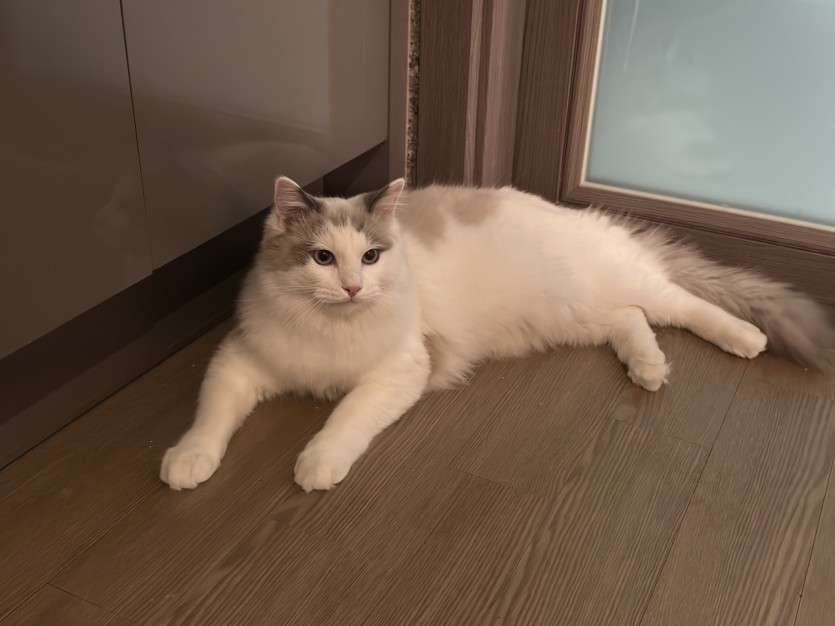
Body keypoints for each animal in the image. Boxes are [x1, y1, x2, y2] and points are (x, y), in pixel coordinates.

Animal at [160, 176, 835, 492]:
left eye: (372, 258)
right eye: (323, 259)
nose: (352, 288)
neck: (328, 328)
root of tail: (593, 219)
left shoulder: (400, 371)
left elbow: (344, 419)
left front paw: (318, 463)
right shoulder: (240, 360)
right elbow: (209, 419)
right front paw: (188, 461)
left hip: (614, 287)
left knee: (680, 302)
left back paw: (745, 339)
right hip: (579, 315)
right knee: (632, 320)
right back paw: (648, 369)